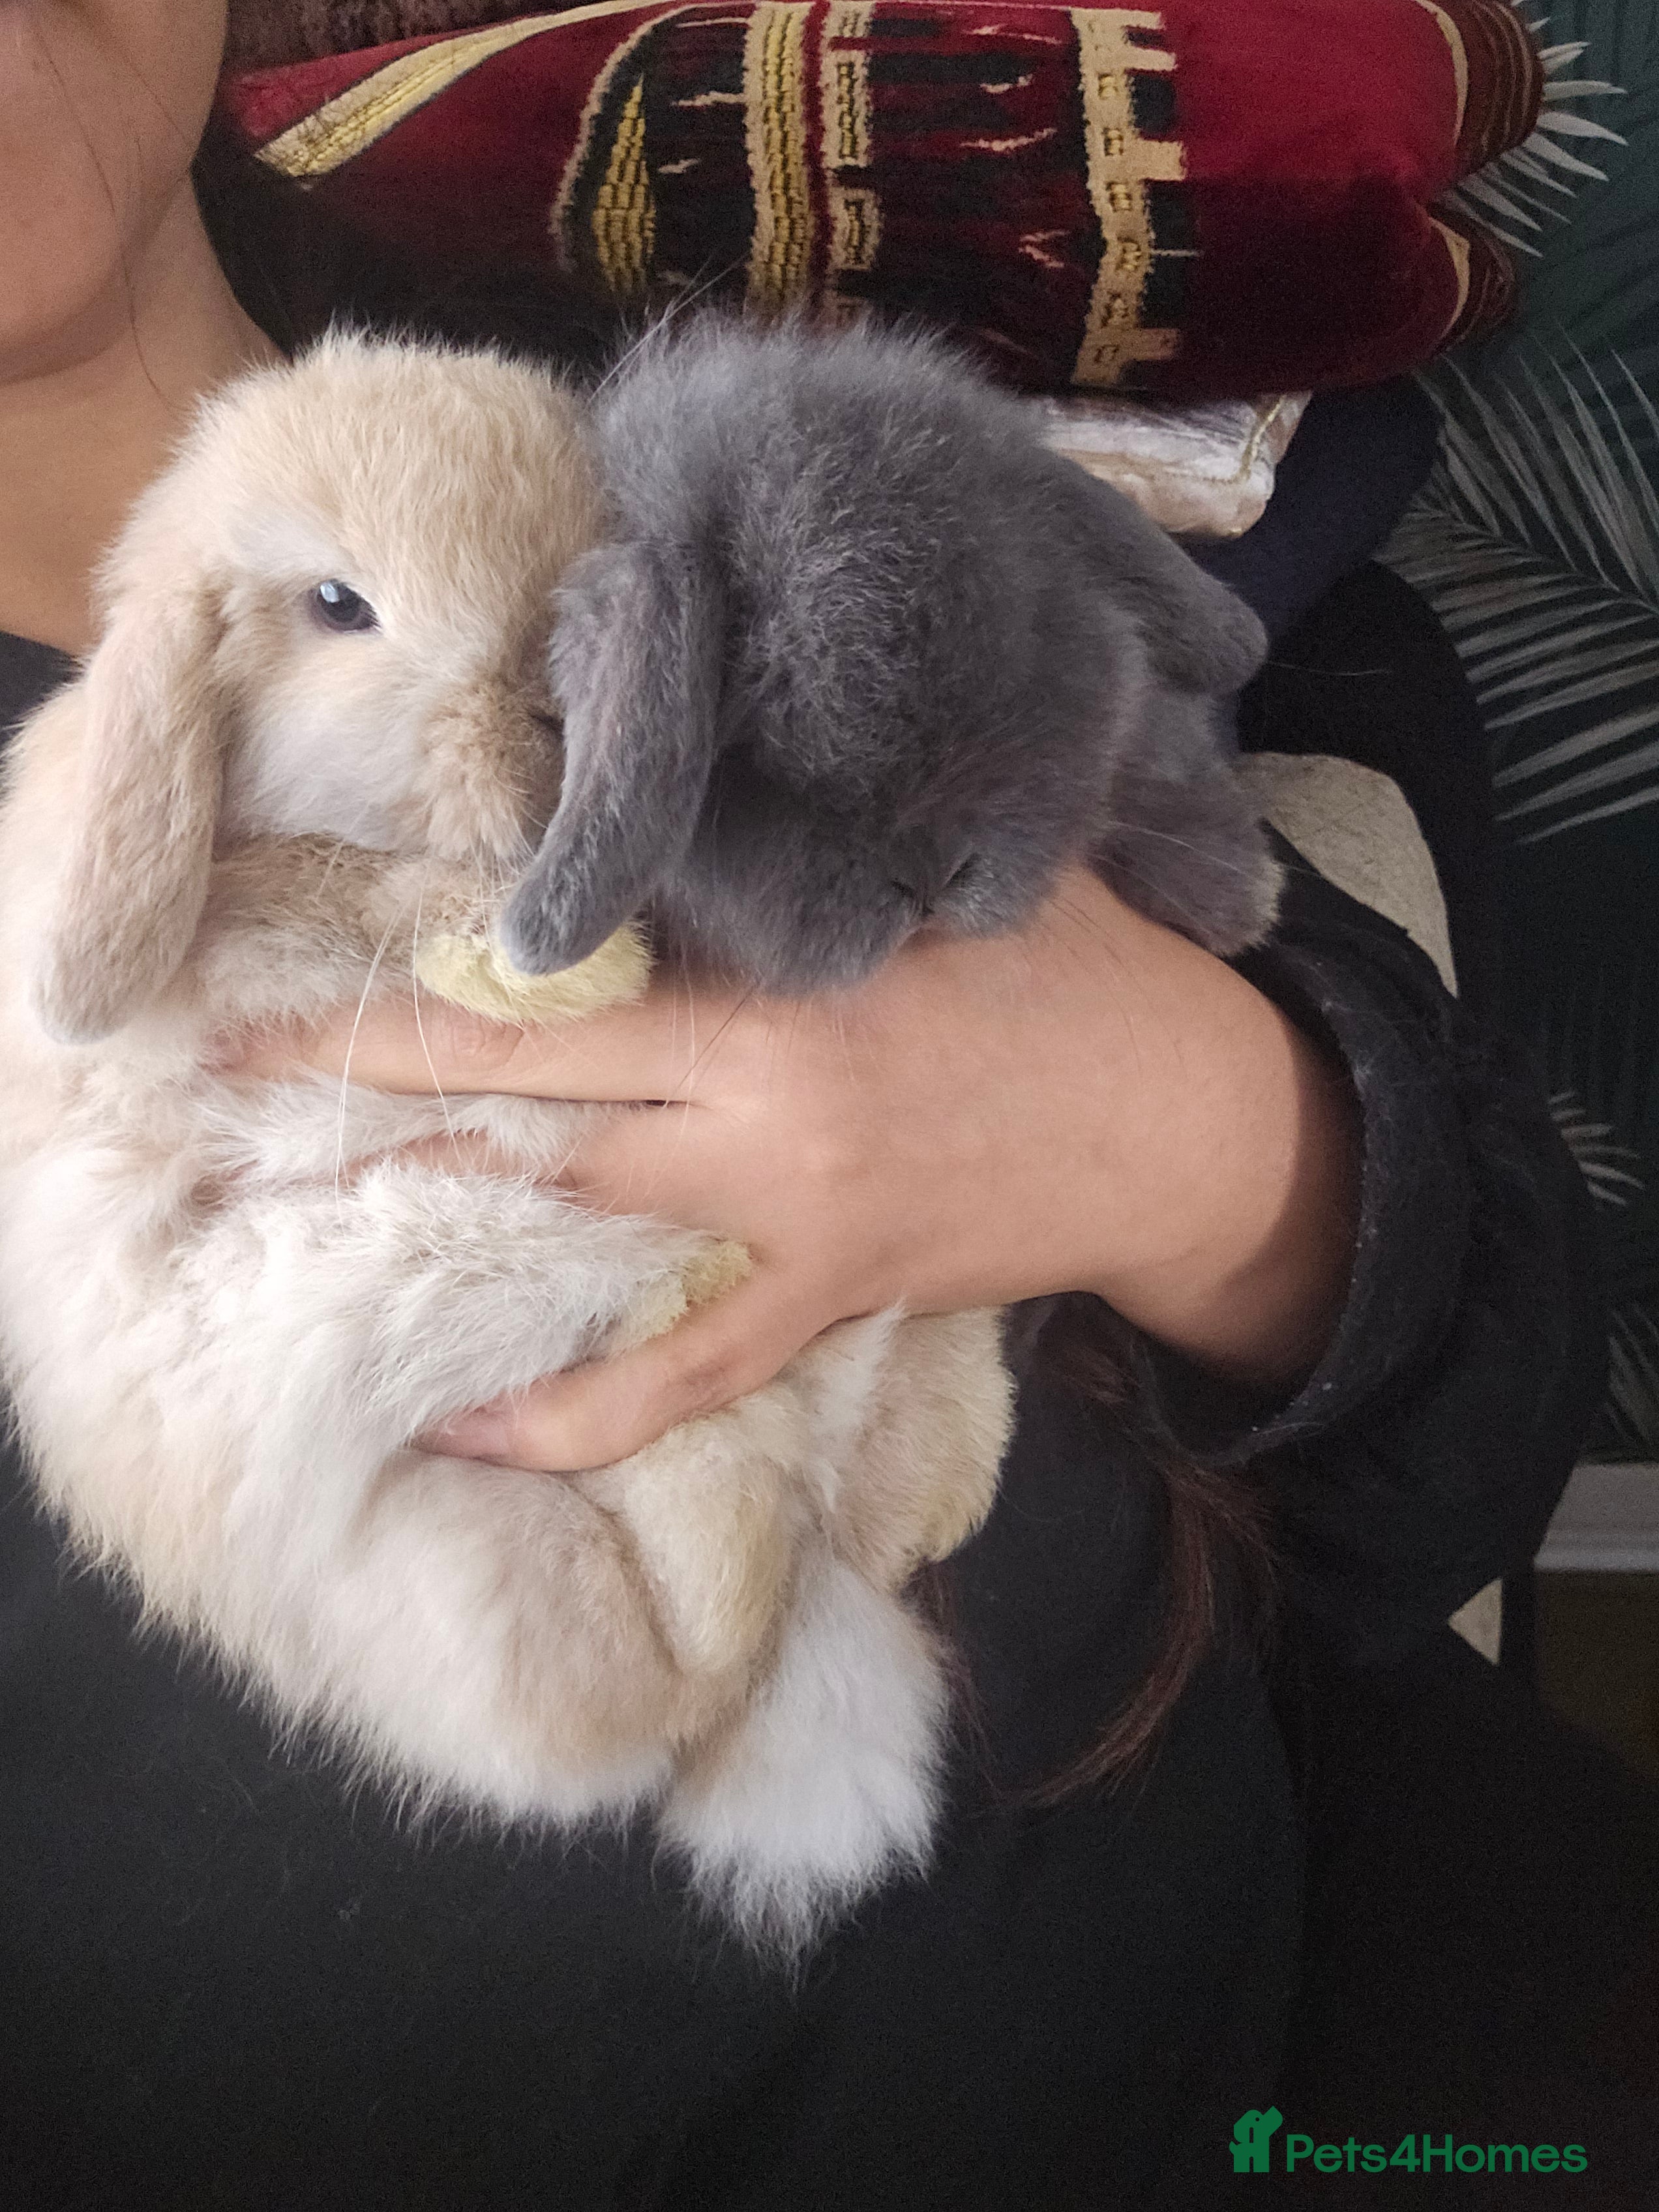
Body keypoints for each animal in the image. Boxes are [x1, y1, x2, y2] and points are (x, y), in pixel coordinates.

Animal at [0, 333, 1014, 1956]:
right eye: (336, 603)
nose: (562, 709)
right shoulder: (220, 945)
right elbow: (330, 895)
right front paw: (558, 974)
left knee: (865, 1488)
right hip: (485, 1573)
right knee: (695, 1641)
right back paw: (696, 1340)